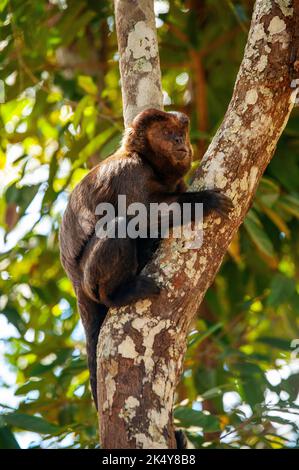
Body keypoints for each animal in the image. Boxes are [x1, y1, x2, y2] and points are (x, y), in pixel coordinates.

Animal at [58, 108, 232, 410]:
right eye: (166, 133)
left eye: (180, 132)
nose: (179, 140)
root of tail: (75, 282)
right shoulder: (130, 172)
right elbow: (141, 215)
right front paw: (203, 201)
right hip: (90, 276)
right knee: (120, 225)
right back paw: (116, 294)